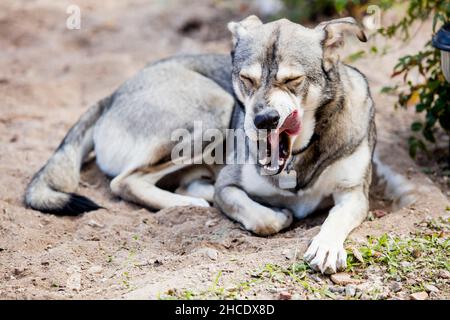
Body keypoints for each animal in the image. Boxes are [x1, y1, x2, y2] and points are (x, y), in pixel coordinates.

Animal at [26, 16, 374, 274]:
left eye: (293, 80)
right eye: (246, 79)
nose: (263, 120)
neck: (298, 158)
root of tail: (114, 93)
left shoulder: (354, 195)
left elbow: (335, 218)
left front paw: (326, 247)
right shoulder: (230, 186)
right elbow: (263, 219)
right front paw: (278, 214)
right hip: (213, 111)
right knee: (124, 182)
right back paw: (189, 205)